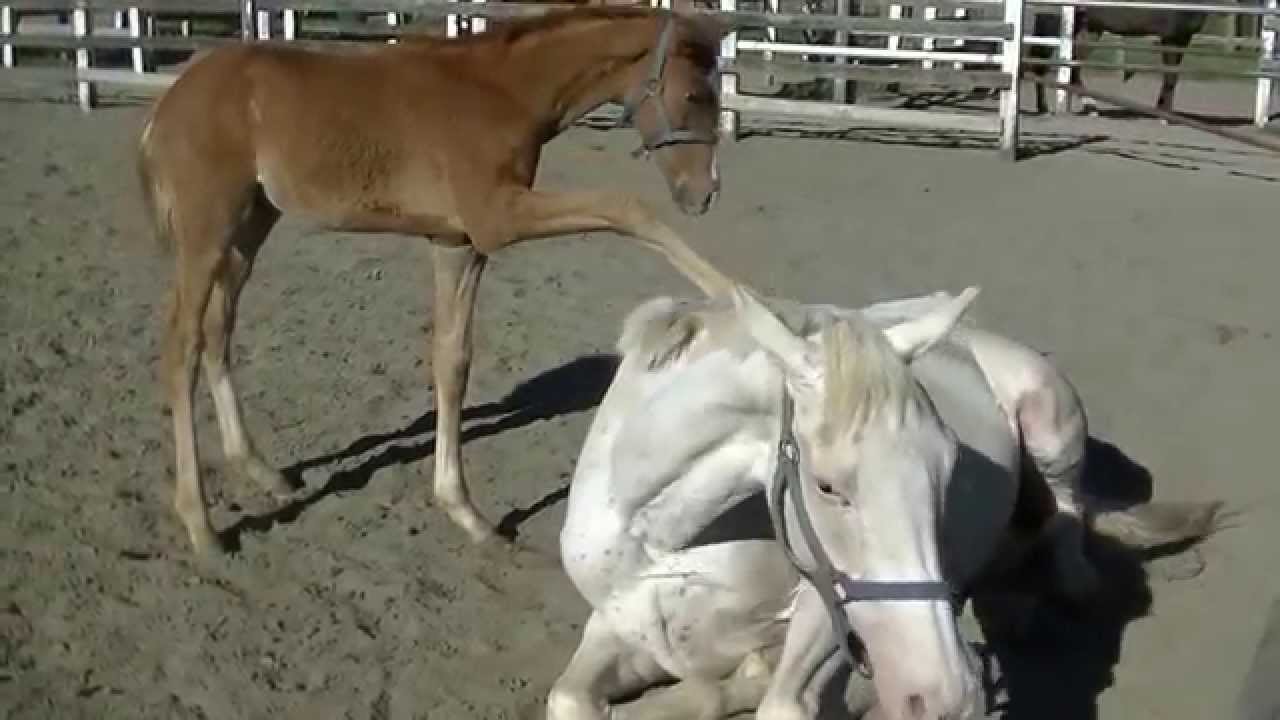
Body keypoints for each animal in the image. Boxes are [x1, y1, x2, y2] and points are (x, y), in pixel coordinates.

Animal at [135, 5, 737, 550]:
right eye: (694, 96)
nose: (704, 193)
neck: (504, 91)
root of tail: (170, 100)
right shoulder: (498, 219)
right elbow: (626, 207)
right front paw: (730, 297)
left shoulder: (458, 244)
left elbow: (453, 361)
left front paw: (466, 512)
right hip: (206, 233)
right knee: (182, 346)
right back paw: (201, 525)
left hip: (249, 227)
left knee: (218, 332)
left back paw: (261, 471)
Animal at [547, 283, 1218, 717]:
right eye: (827, 487)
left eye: (949, 468)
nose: (951, 698)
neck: (660, 538)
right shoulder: (621, 625)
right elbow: (569, 698)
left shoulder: (822, 606)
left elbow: (776, 698)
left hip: (1051, 419)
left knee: (1067, 508)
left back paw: (1065, 586)